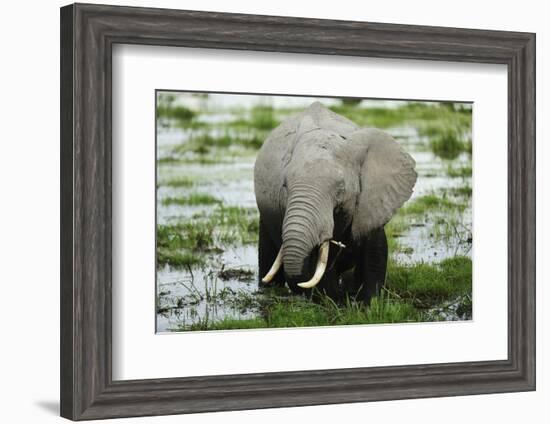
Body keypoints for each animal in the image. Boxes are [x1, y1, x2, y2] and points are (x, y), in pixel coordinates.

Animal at [254, 101, 418, 304]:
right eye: (284, 186)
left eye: (341, 188)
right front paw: (335, 300)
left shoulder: (371, 203)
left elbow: (375, 252)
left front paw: (369, 302)